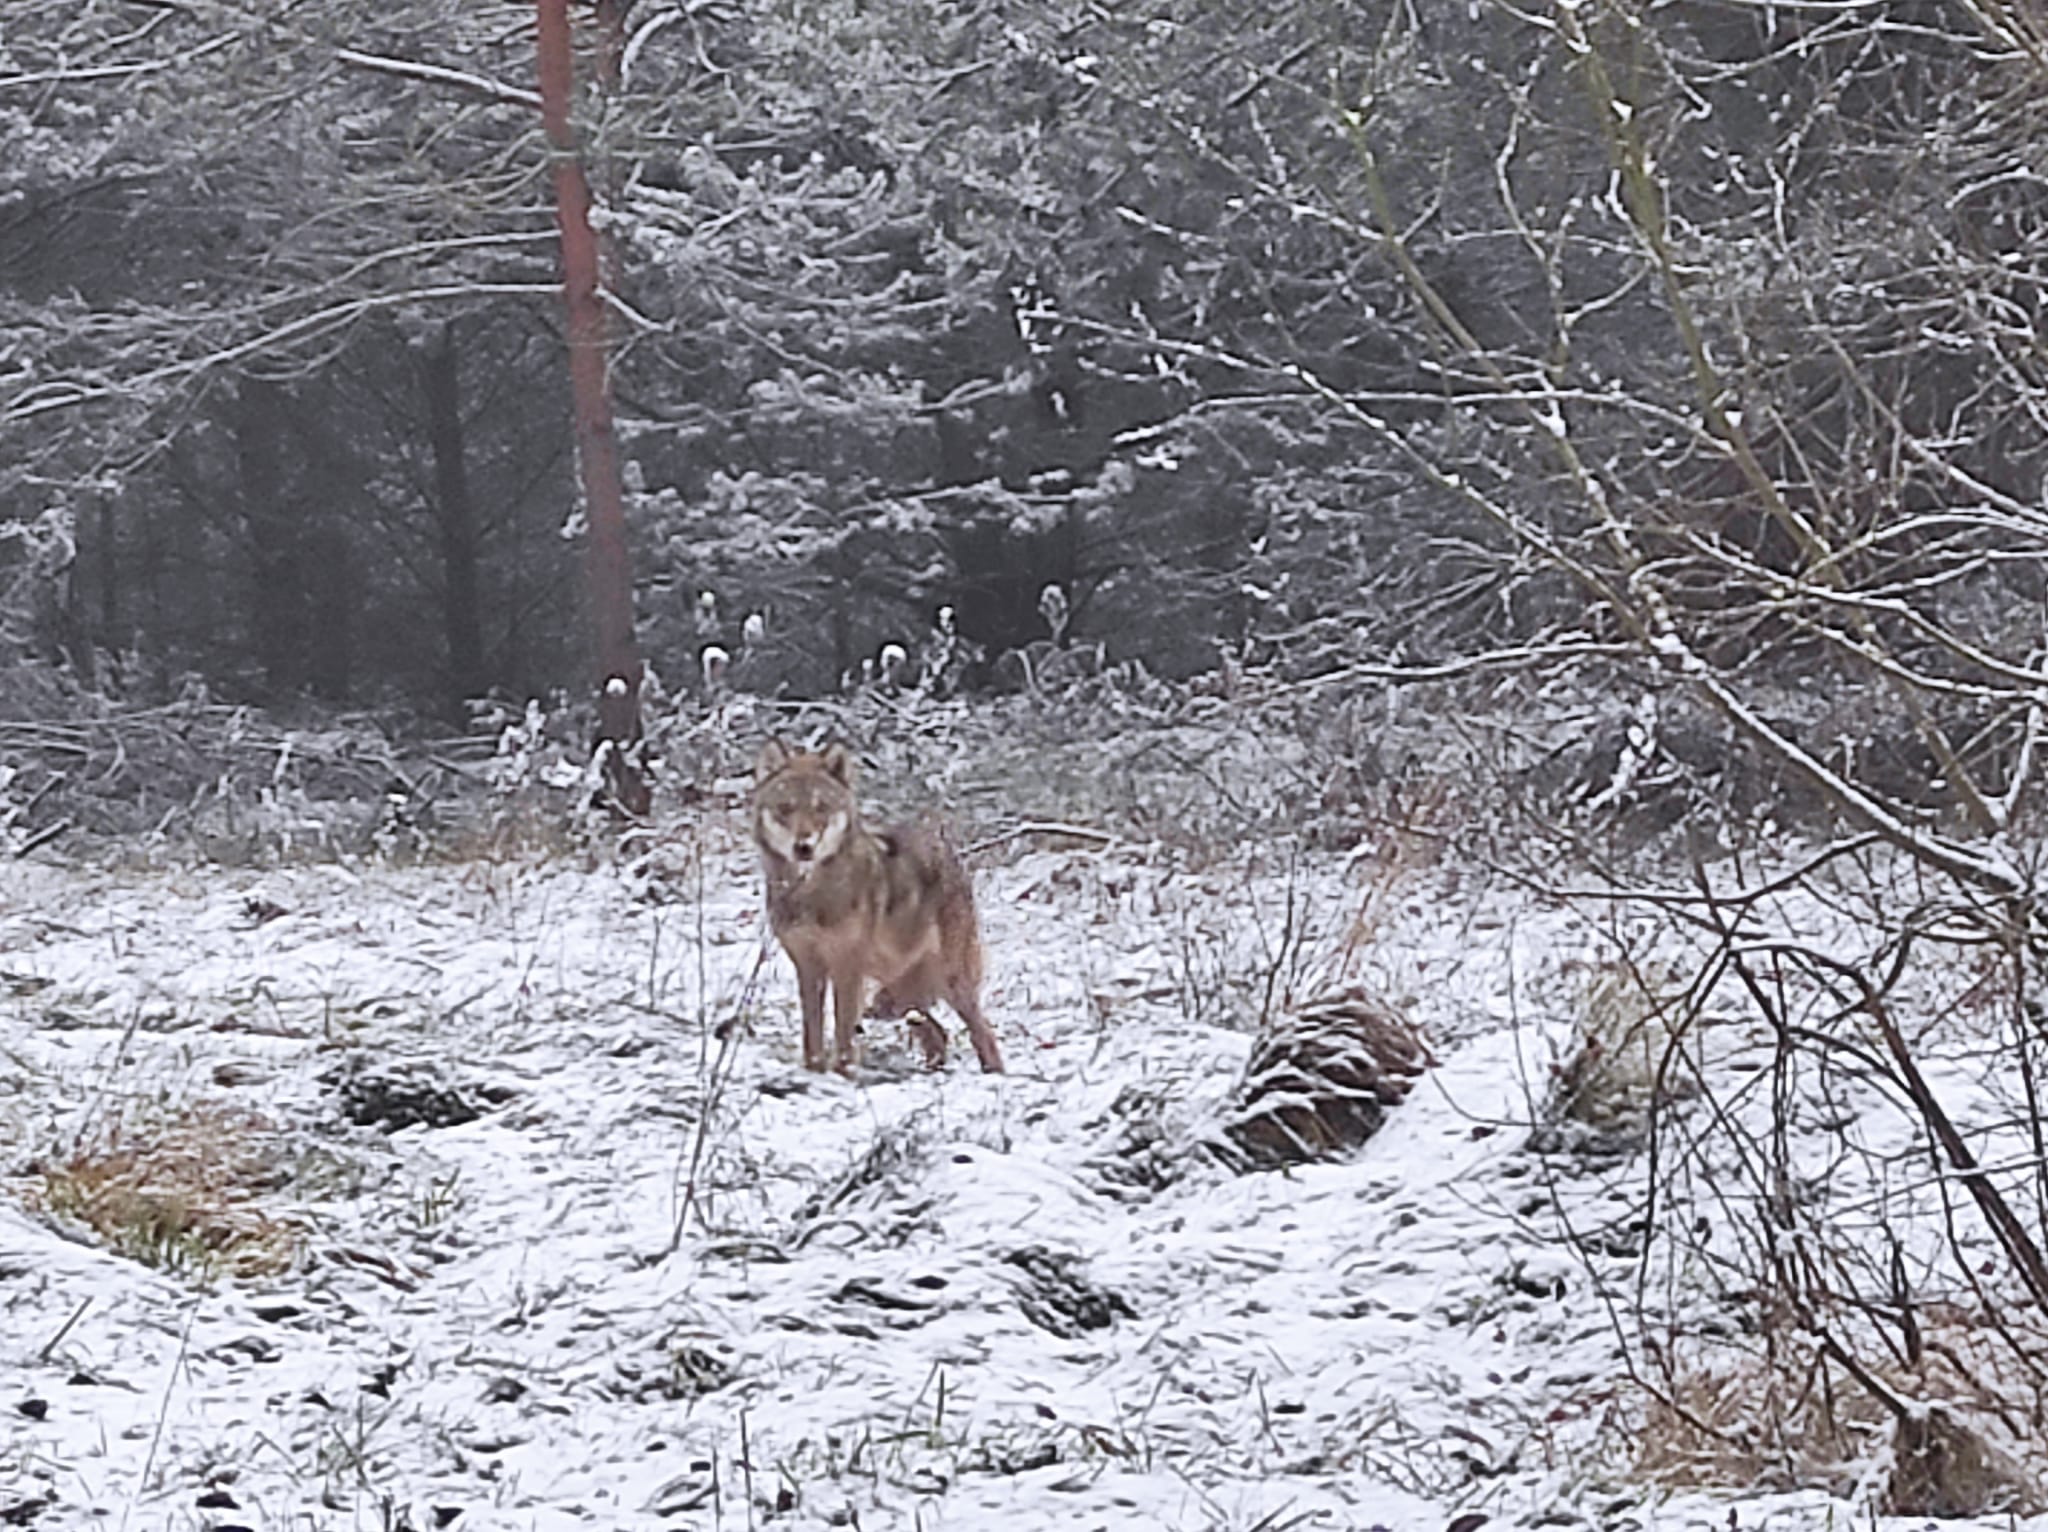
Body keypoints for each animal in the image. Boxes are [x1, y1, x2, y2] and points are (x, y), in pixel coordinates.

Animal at [753, 741, 1007, 1073]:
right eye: (785, 809)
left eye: (821, 808)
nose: (804, 847)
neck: (810, 892)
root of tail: (948, 851)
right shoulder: (808, 967)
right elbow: (813, 1033)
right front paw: (815, 1070)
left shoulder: (847, 966)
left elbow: (843, 1031)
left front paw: (842, 1073)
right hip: (902, 988)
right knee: (936, 1032)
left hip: (952, 981)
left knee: (983, 1035)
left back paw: (993, 1073)